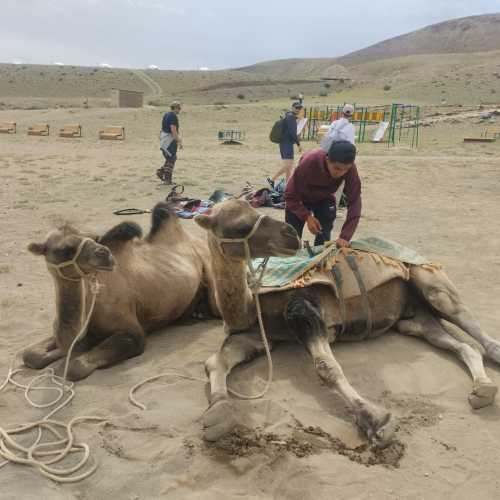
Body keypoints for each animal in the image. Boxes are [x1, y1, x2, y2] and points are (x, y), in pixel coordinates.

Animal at [24, 201, 217, 380]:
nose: (105, 254)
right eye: (64, 249)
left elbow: (75, 367)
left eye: (92, 237)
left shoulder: (133, 334)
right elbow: (30, 354)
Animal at [194, 199, 500, 446]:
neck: (249, 303)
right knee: (459, 344)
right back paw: (483, 389)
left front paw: (377, 421)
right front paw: (219, 413)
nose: (291, 233)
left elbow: (326, 367)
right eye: (240, 226)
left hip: (429, 280)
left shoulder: (304, 309)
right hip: (414, 318)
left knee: (466, 319)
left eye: (255, 212)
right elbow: (216, 362)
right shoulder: (256, 334)